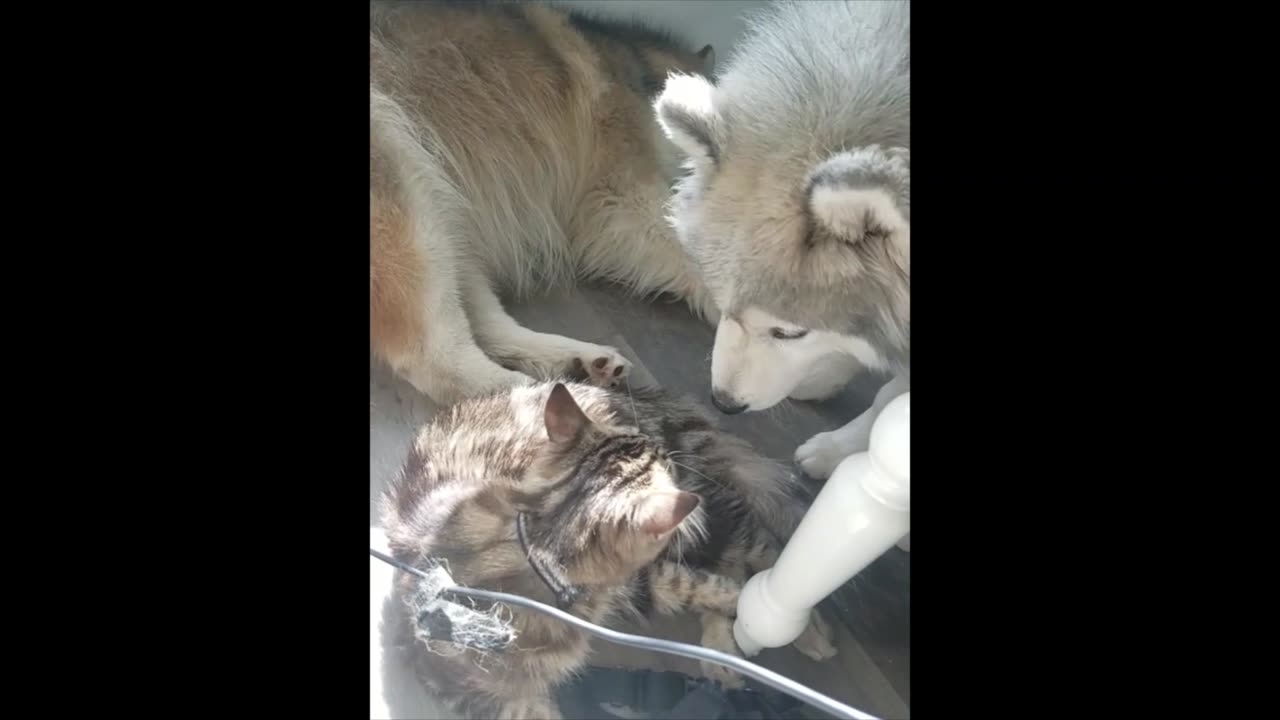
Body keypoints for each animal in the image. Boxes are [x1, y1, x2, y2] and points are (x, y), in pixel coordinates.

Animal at [371, 0, 721, 404]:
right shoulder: (624, 196)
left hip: (446, 211)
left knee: (485, 325)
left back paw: (576, 361)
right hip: (403, 179)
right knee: (437, 357)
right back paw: (540, 396)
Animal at [378, 379, 839, 712]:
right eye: (660, 463)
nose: (665, 454)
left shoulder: (638, 578)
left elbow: (709, 585)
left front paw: (754, 614)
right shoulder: (479, 693)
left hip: (710, 520)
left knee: (760, 546)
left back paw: (800, 632)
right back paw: (724, 655)